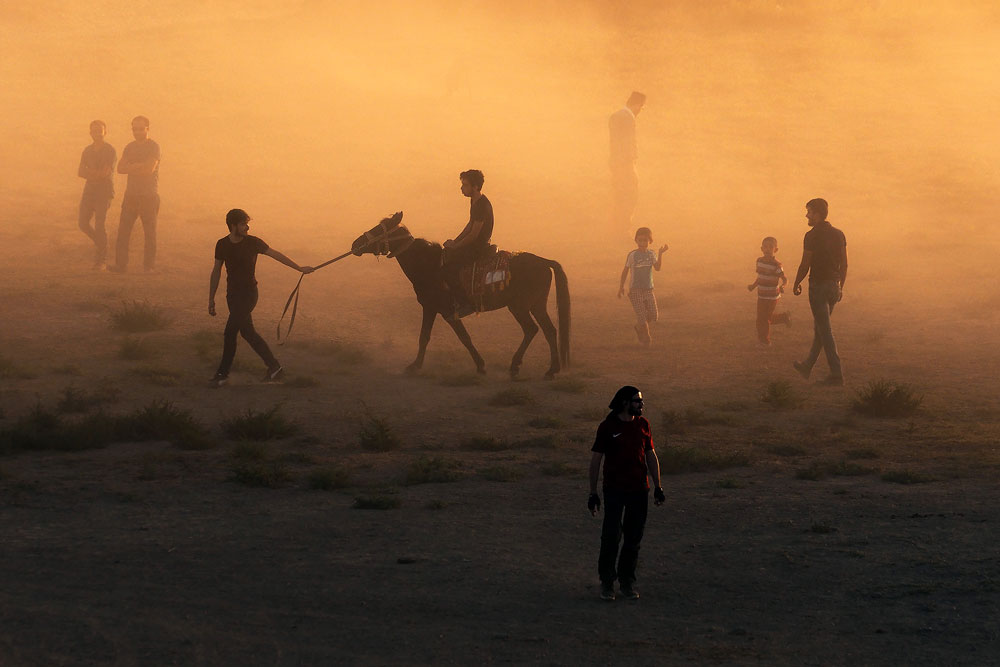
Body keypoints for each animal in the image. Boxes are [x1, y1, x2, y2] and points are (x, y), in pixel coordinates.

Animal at [352, 214, 572, 380]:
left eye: (379, 229)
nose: (355, 244)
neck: (429, 265)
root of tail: (544, 261)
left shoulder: (446, 310)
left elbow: (463, 337)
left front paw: (481, 366)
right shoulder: (430, 308)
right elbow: (425, 336)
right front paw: (415, 365)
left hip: (519, 306)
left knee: (531, 329)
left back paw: (516, 366)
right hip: (536, 305)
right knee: (549, 330)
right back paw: (551, 370)